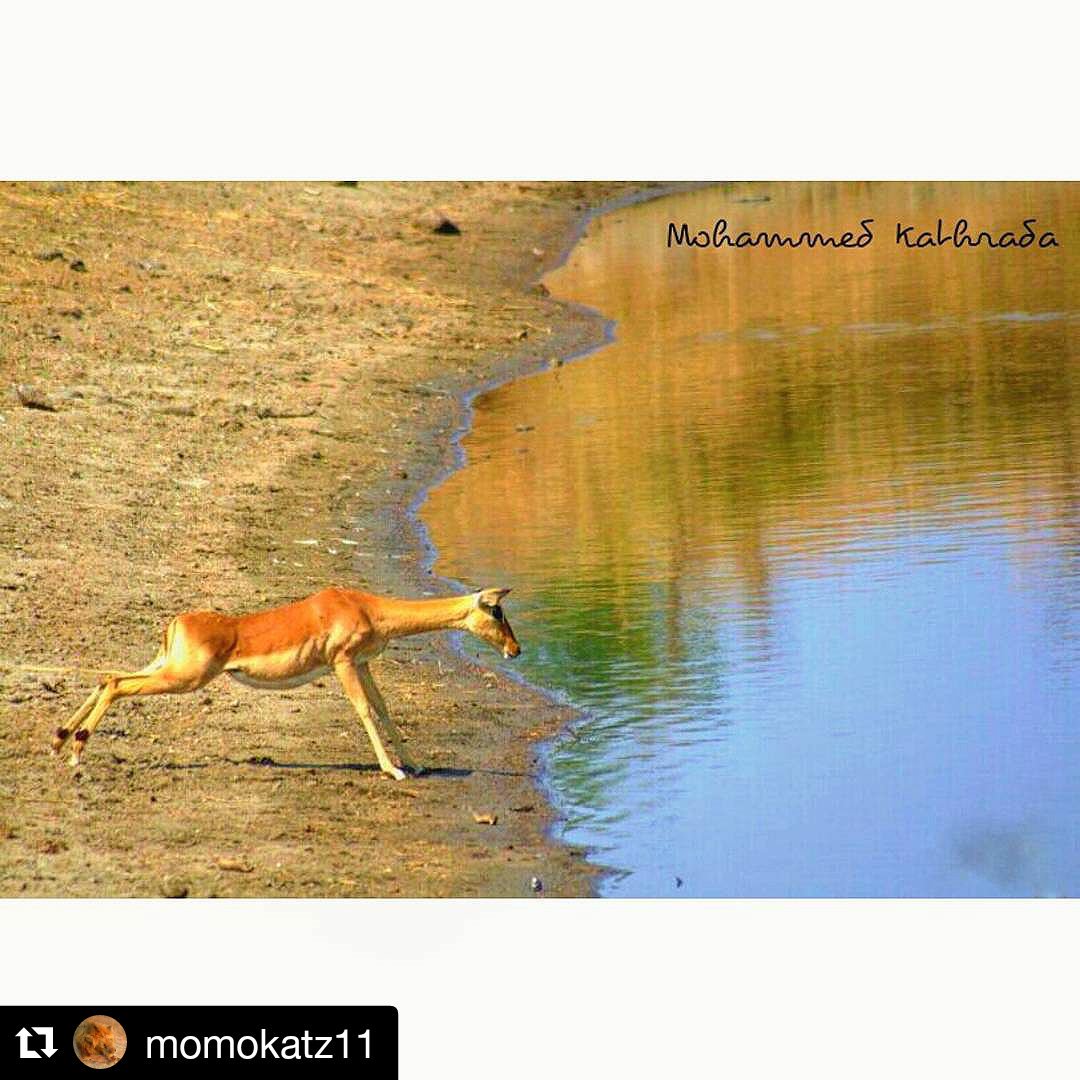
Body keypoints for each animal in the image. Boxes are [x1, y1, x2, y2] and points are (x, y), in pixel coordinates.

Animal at [50, 586, 520, 778]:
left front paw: (416, 764)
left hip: (167, 667)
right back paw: (75, 753)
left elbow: (384, 708)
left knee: (107, 676)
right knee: (116, 685)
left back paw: (59, 741)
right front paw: (393, 771)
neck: (366, 607)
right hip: (184, 678)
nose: (516, 650)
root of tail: (178, 622)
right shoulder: (343, 663)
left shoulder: (363, 664)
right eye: (496, 610)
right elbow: (364, 711)